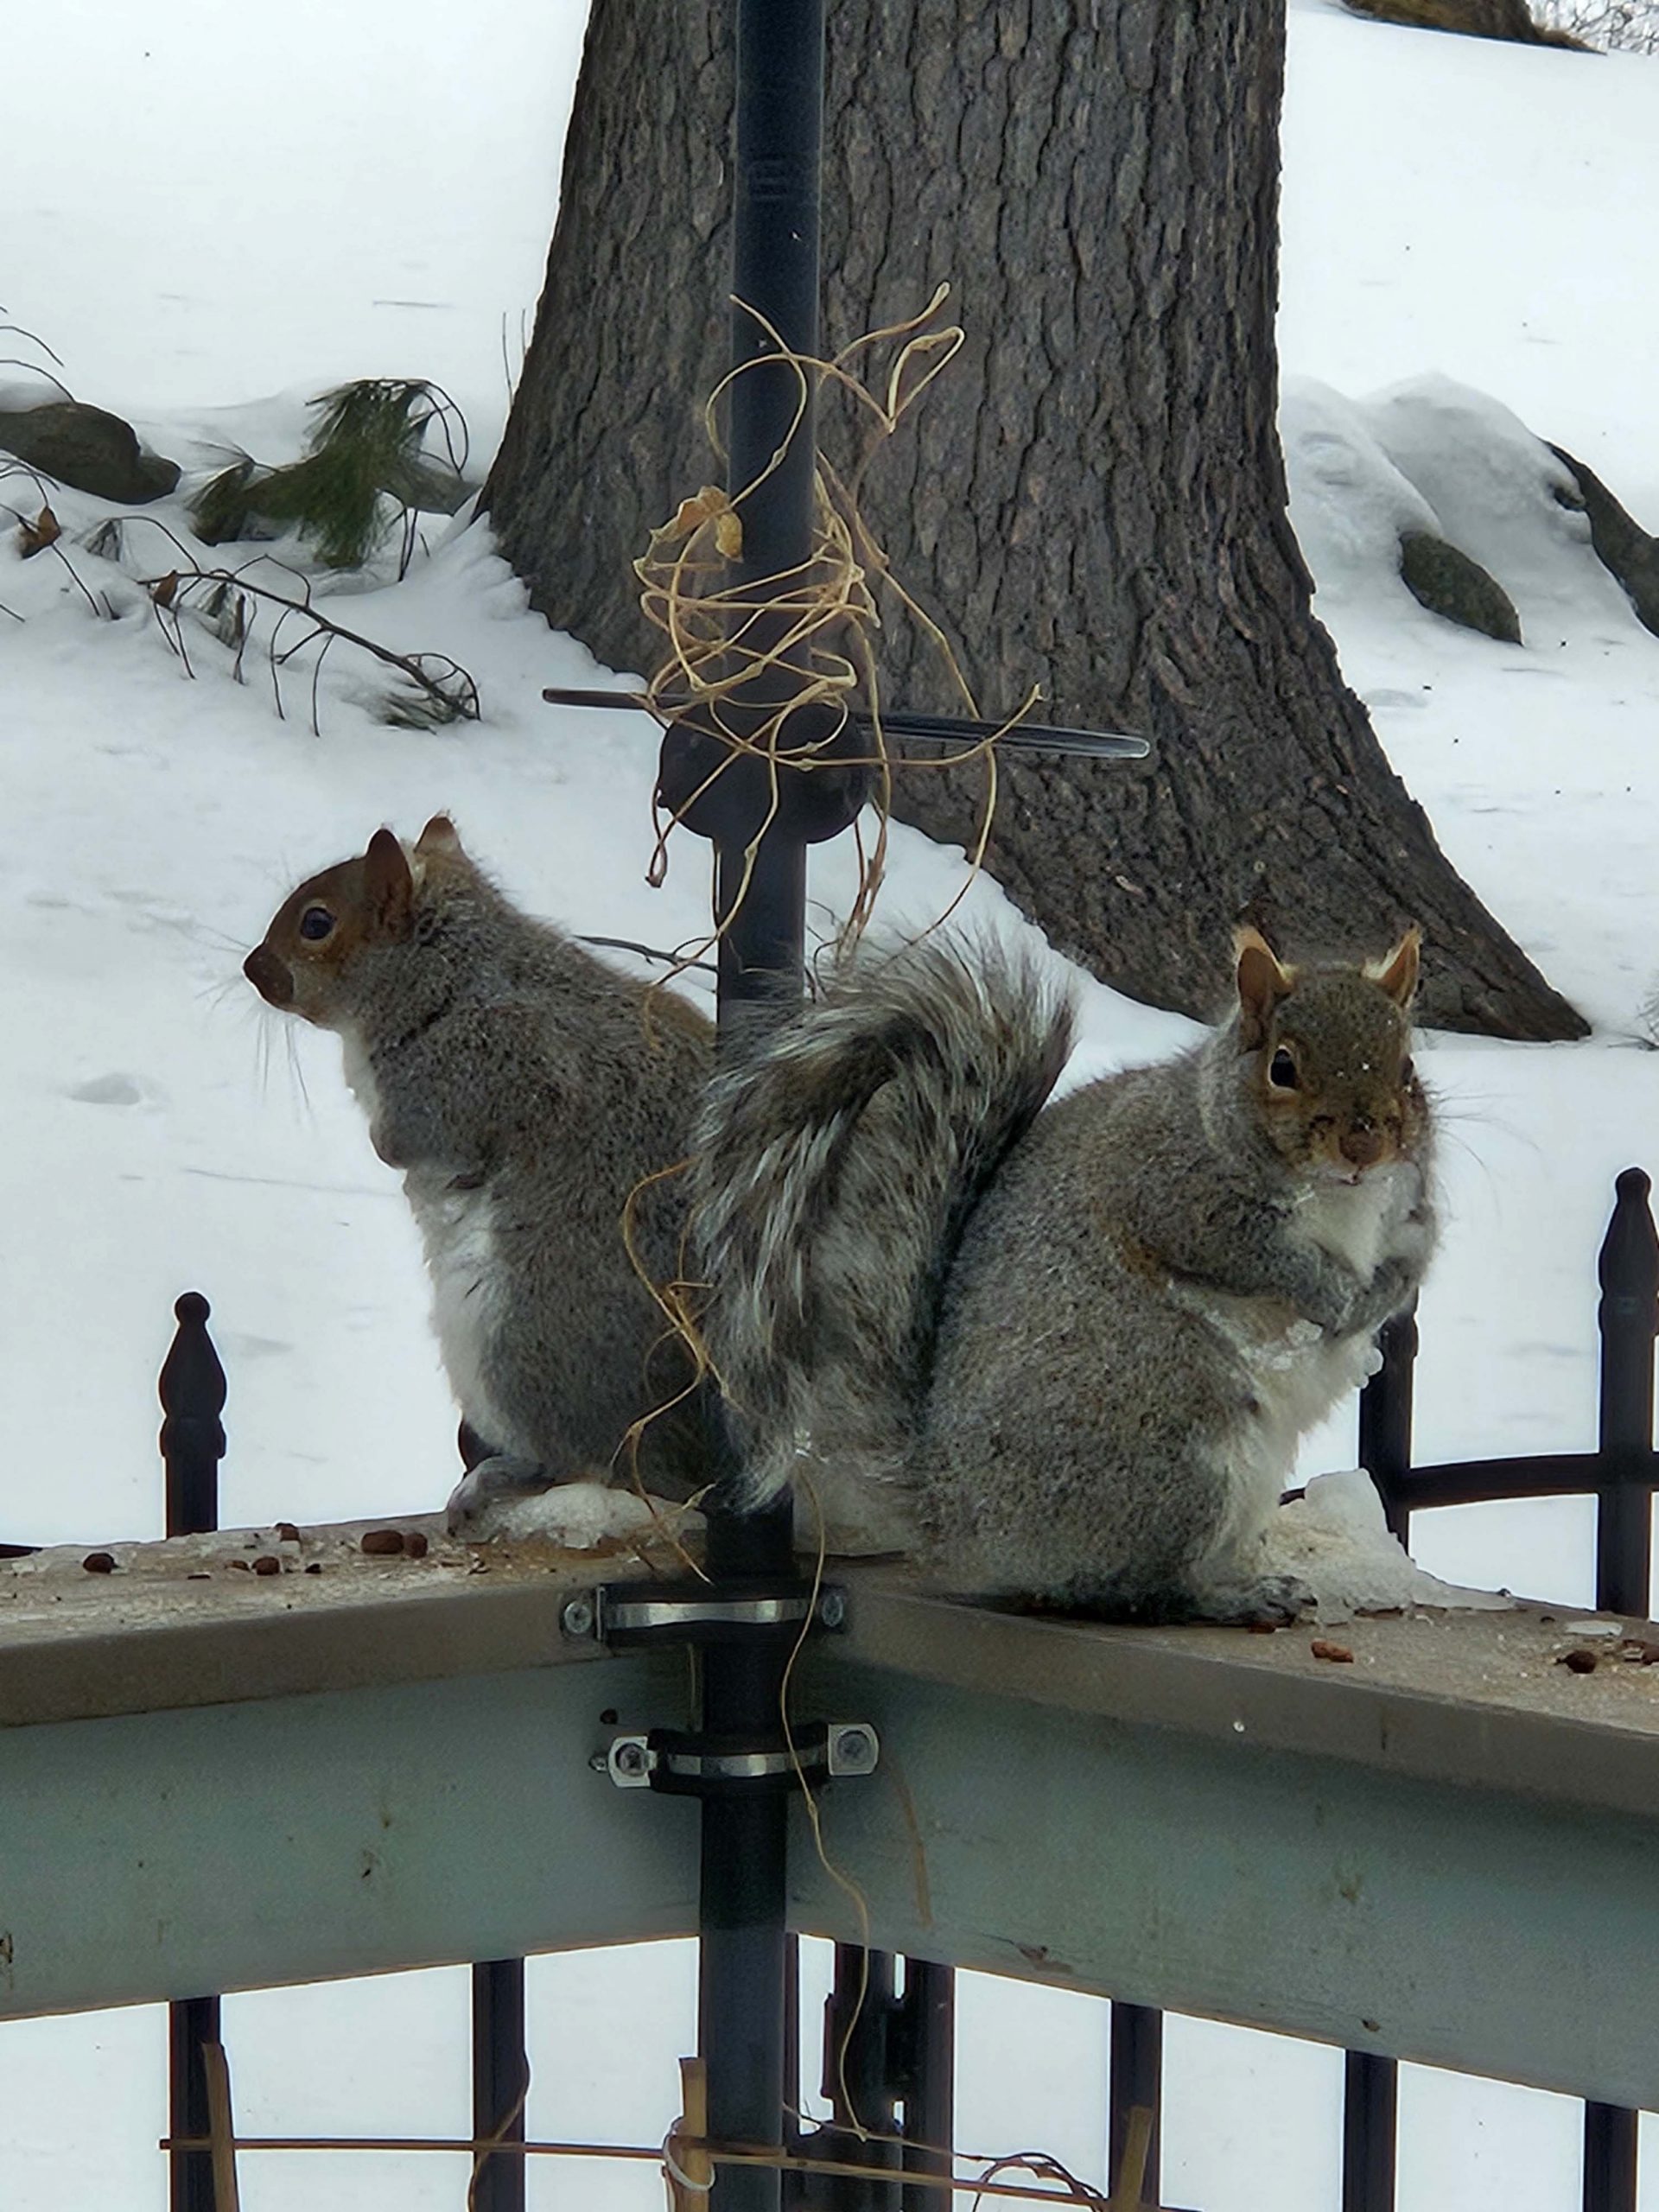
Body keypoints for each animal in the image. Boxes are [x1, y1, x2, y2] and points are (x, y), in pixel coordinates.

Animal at [244, 816, 716, 1537]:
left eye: (316, 923)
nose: (253, 968)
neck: (445, 974)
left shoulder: (487, 1067)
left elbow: (415, 1141)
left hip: (521, 1343)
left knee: (604, 1465)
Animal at [690, 926, 1435, 1623]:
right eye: (1283, 1066)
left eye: (1406, 1067)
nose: (1366, 1144)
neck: (1338, 1196)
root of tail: (954, 1516)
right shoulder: (1165, 1189)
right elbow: (1252, 1256)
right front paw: (1329, 1295)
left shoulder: (1408, 1211)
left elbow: (1411, 1261)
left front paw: (1377, 1301)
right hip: (1173, 1451)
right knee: (1141, 1588)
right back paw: (1228, 1598)